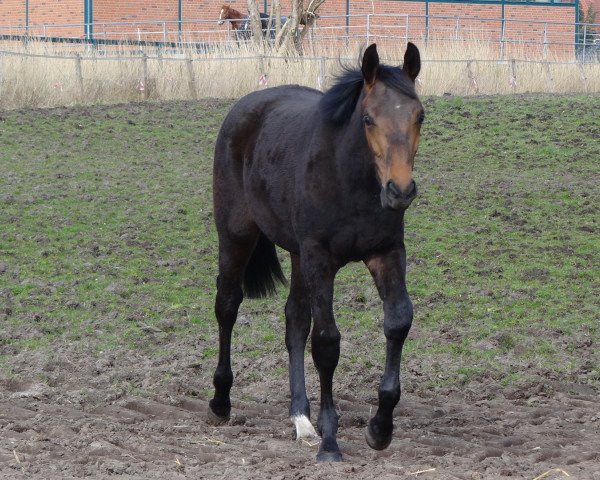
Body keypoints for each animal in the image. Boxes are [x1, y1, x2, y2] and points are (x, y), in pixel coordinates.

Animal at [209, 44, 424, 462]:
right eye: (369, 119)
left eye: (419, 115)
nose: (400, 190)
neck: (350, 181)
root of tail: (246, 105)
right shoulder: (320, 258)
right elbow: (326, 342)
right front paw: (330, 443)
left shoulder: (386, 252)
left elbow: (398, 321)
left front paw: (380, 428)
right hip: (237, 236)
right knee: (227, 305)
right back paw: (220, 402)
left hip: (297, 254)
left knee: (294, 320)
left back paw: (301, 419)